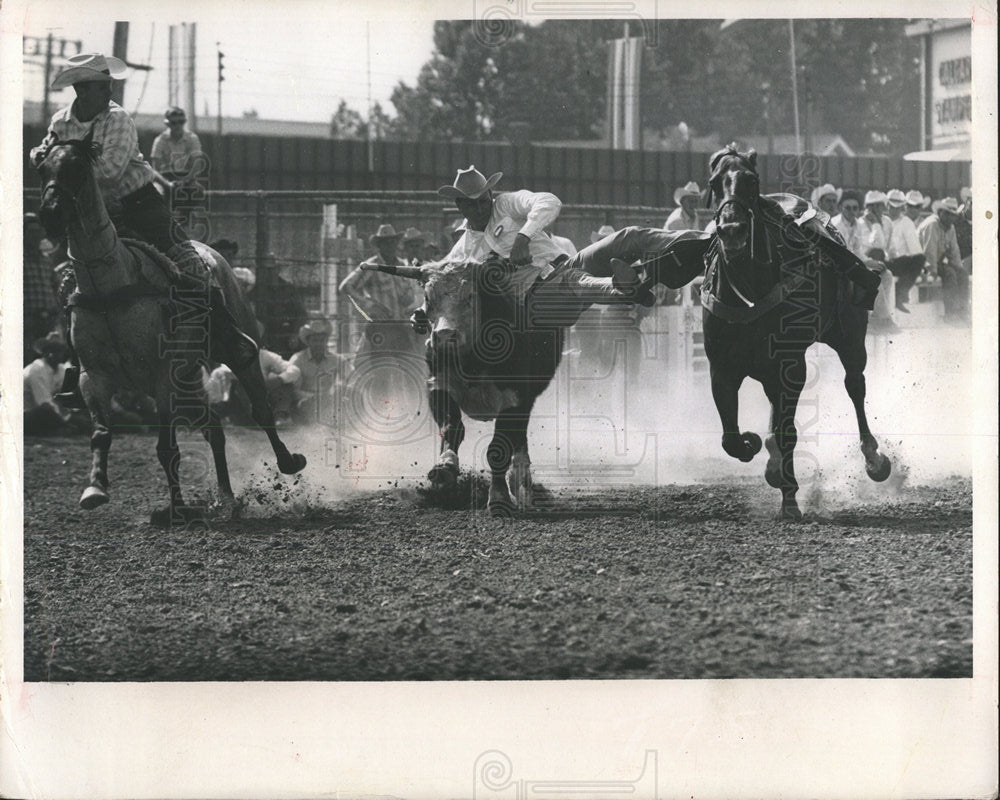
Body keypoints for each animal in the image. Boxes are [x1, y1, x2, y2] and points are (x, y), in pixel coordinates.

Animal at [35, 134, 304, 524]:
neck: (111, 285)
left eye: (78, 167)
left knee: (260, 408)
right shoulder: (93, 376)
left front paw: (177, 506)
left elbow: (167, 448)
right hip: (188, 379)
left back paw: (287, 462)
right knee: (214, 428)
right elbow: (101, 434)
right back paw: (226, 498)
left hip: (228, 356)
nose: (50, 213)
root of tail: (213, 253)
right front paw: (95, 489)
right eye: (42, 168)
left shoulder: (164, 375)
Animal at [696, 147, 892, 520]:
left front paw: (790, 499)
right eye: (714, 182)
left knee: (854, 385)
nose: (732, 229)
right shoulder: (720, 369)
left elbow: (788, 432)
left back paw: (875, 459)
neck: (748, 291)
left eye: (751, 180)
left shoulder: (791, 366)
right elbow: (730, 438)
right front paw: (753, 444)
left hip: (848, 335)